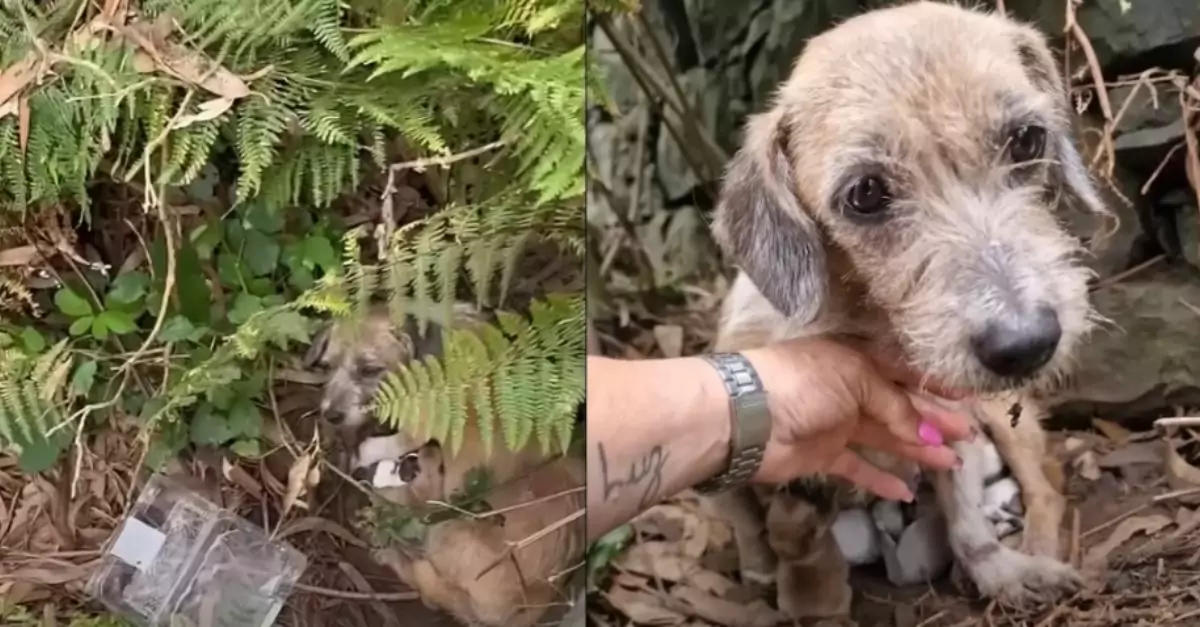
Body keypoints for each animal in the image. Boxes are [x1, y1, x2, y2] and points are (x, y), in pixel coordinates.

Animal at [304, 306, 585, 624]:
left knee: (430, 586)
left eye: (369, 369)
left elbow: (382, 446)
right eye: (327, 366)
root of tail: (535, 601)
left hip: (448, 526)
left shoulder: (415, 429)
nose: (331, 415)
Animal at [700, 0, 1104, 614]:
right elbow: (754, 515)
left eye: (1027, 141)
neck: (866, 325)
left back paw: (1035, 548)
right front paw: (769, 571)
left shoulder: (953, 425)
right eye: (866, 193)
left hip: (1001, 416)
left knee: (1045, 481)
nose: (1028, 344)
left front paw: (1000, 574)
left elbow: (966, 520)